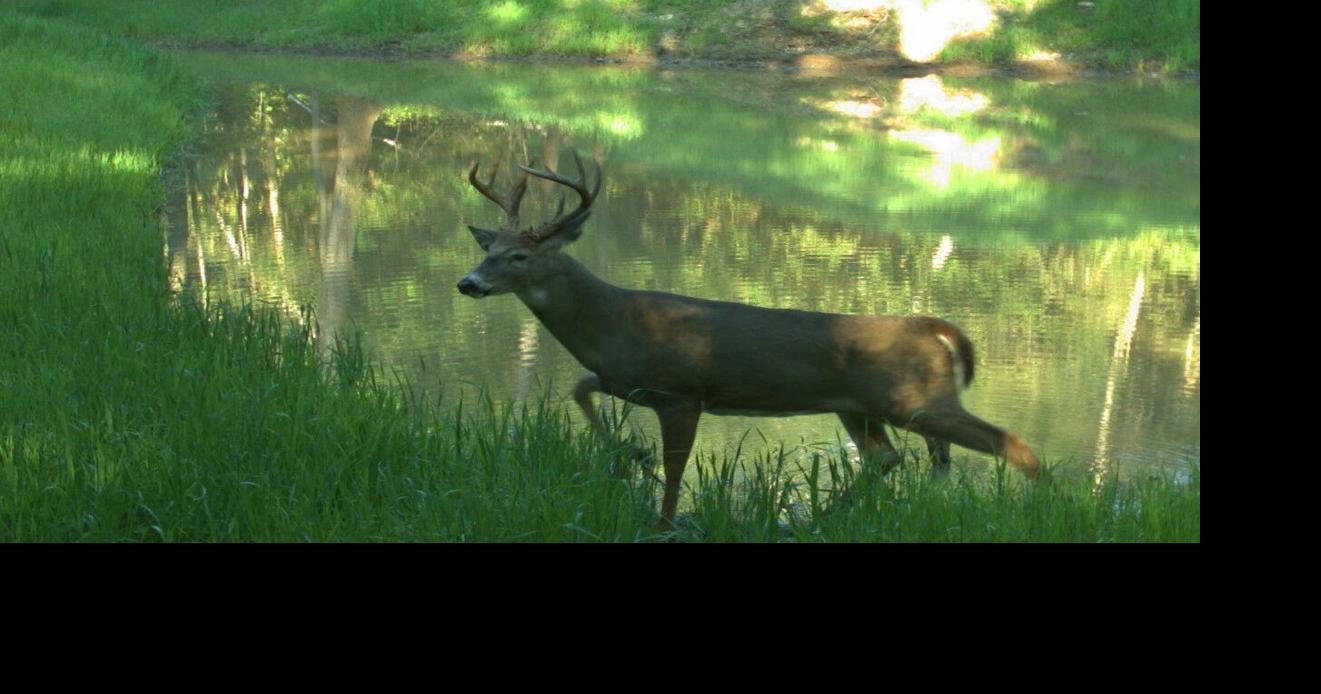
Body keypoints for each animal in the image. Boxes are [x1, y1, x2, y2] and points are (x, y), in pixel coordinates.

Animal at [458, 151, 1041, 526]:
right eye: (489, 249)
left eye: (520, 256)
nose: (468, 283)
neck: (614, 322)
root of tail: (931, 326)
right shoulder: (624, 381)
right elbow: (579, 389)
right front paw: (629, 450)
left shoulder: (682, 392)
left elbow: (676, 469)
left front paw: (663, 518)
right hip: (859, 406)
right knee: (887, 457)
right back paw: (821, 516)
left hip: (915, 399)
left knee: (1009, 441)